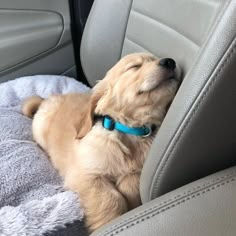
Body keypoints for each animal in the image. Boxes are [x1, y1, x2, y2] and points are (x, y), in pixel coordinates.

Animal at [22, 53, 182, 232]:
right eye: (135, 66)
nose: (170, 62)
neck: (128, 131)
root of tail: (46, 100)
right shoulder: (85, 175)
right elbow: (111, 199)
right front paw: (109, 222)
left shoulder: (137, 171)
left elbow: (129, 182)